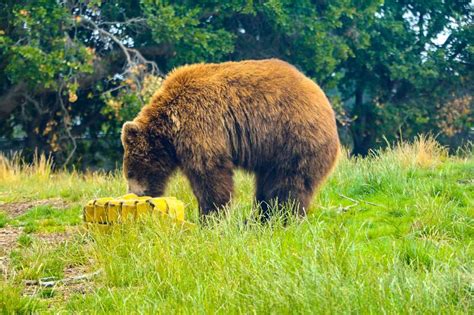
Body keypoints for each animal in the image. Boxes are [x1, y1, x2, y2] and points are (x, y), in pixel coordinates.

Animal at [120, 59, 338, 221]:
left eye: (130, 172)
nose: (135, 194)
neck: (172, 128)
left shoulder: (201, 125)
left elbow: (210, 174)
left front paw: (209, 217)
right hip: (272, 153)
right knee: (266, 185)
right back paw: (259, 219)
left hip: (293, 138)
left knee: (288, 185)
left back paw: (280, 219)